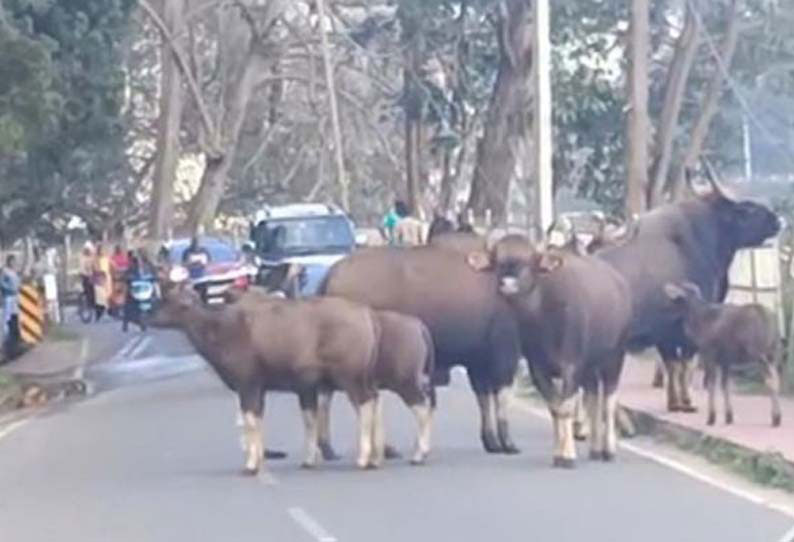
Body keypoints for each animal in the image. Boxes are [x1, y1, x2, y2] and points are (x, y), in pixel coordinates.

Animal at [151, 284, 384, 476]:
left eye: (169, 301)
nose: (149, 318)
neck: (222, 330)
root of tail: (365, 315)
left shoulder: (248, 385)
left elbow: (250, 421)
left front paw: (251, 466)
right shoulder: (265, 389)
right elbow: (262, 420)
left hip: (350, 377)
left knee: (365, 405)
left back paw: (364, 459)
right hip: (363, 377)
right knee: (374, 400)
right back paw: (375, 457)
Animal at [470, 236, 632, 470]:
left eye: (529, 261)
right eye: (498, 261)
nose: (508, 285)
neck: (543, 318)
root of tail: (620, 283)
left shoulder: (571, 366)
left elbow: (565, 408)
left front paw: (568, 455)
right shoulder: (538, 369)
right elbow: (555, 408)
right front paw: (558, 453)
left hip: (615, 356)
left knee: (609, 400)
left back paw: (609, 450)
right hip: (590, 367)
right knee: (593, 397)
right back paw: (595, 449)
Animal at [664, 284, 780, 430]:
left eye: (677, 294)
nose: (667, 287)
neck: (698, 324)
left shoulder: (709, 354)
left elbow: (711, 385)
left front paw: (711, 418)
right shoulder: (726, 360)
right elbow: (725, 385)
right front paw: (729, 417)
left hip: (759, 352)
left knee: (771, 380)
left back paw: (775, 418)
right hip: (772, 353)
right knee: (776, 377)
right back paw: (777, 416)